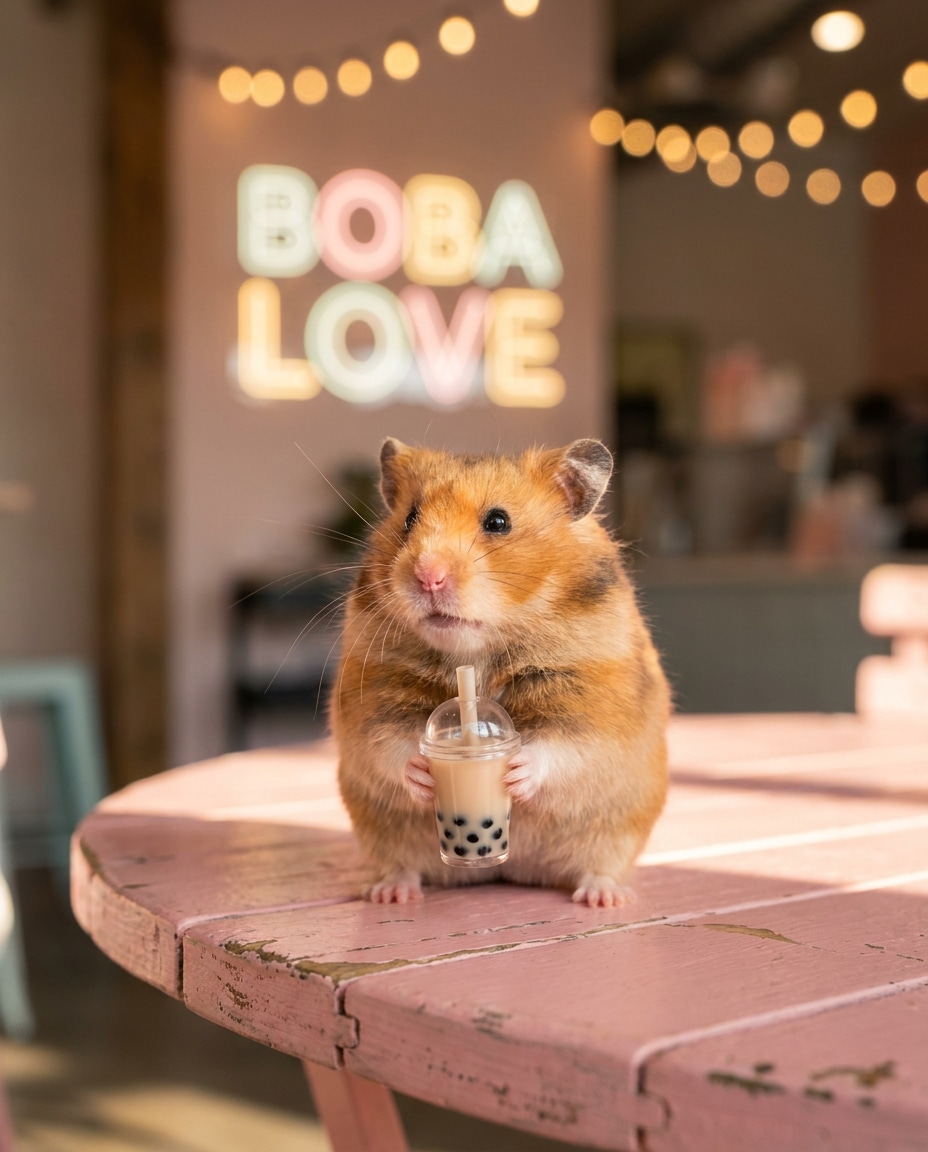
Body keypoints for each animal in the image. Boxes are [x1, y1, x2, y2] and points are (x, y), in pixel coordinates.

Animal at [331, 437, 670, 907]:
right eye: (409, 518)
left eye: (498, 521)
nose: (427, 577)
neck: (476, 653)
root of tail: (509, 871)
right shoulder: (373, 696)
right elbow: (391, 743)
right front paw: (422, 772)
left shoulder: (594, 700)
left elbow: (563, 746)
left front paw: (516, 771)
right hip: (381, 834)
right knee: (402, 866)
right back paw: (391, 893)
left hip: (618, 828)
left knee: (600, 866)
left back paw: (603, 898)